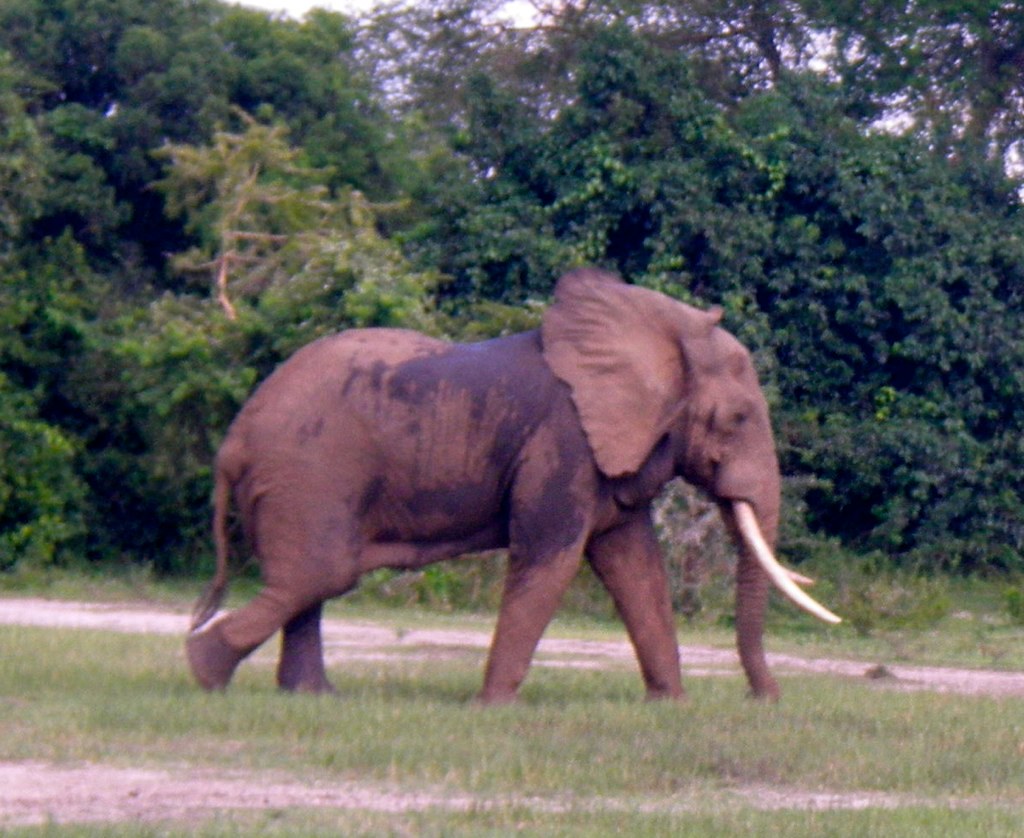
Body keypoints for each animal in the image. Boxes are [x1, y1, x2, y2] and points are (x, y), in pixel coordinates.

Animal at [186, 267, 839, 702]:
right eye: (738, 419)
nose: (765, 698)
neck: (659, 326)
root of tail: (233, 441)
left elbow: (635, 566)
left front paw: (670, 706)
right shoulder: (563, 442)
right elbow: (550, 559)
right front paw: (492, 707)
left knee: (310, 582)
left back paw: (311, 696)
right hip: (307, 473)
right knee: (321, 574)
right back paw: (205, 671)